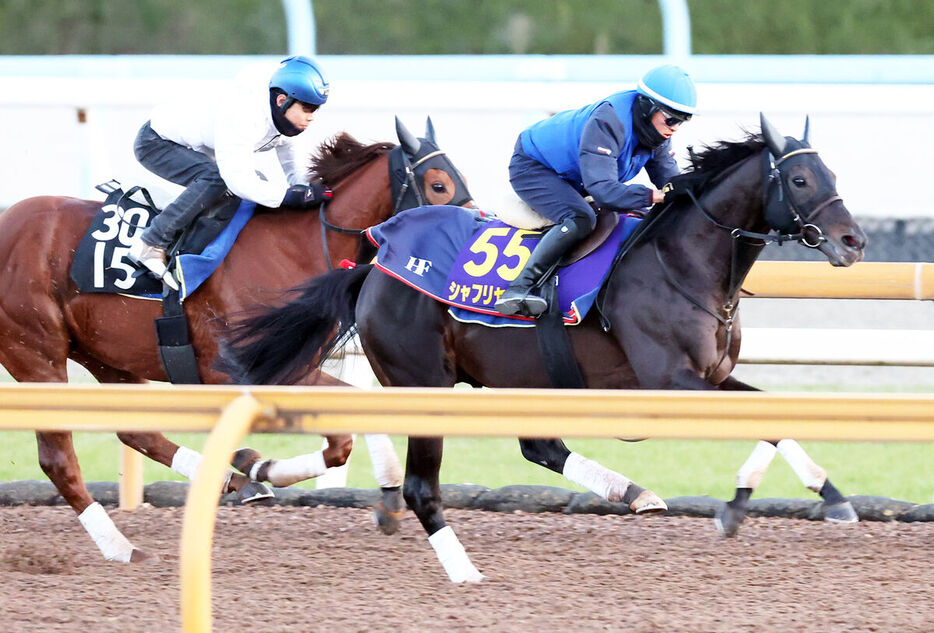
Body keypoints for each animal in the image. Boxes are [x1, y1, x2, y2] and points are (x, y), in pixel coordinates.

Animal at [0, 118, 472, 564]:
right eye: (438, 185)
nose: (472, 249)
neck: (295, 246)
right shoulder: (243, 369)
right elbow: (341, 439)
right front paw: (267, 466)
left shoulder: (292, 365)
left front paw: (383, 493)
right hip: (36, 354)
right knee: (58, 458)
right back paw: (121, 546)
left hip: (106, 356)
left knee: (138, 432)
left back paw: (233, 479)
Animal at [219, 116, 872, 580]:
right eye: (799, 179)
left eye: (834, 176)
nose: (854, 242)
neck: (684, 261)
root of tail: (376, 264)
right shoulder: (670, 381)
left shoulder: (711, 375)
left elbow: (774, 412)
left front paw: (815, 497)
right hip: (424, 380)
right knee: (422, 486)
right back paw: (464, 572)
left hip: (517, 376)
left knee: (539, 446)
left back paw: (634, 493)